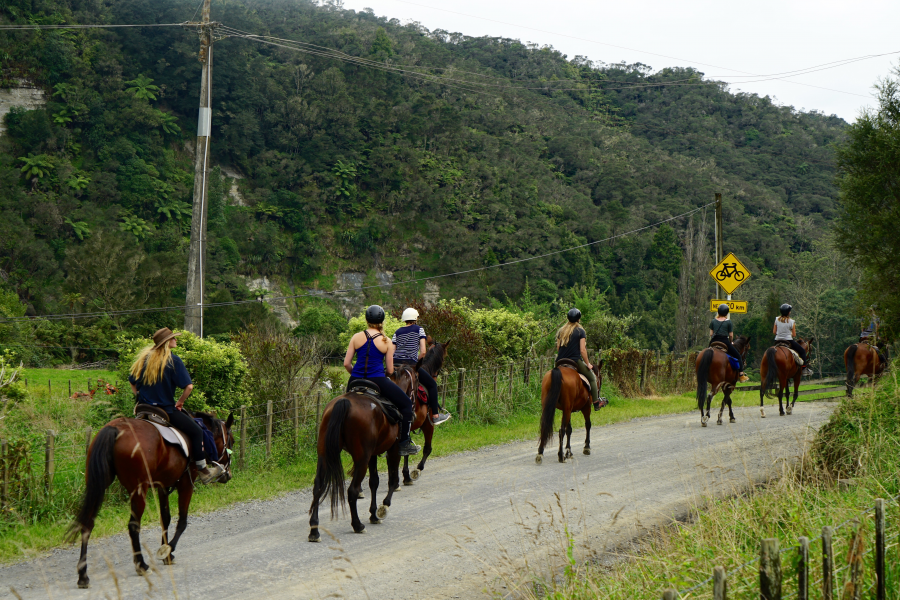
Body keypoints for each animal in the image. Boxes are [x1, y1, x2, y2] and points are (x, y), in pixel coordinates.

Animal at [68, 410, 234, 588]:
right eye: (231, 441)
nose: (228, 475)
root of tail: (116, 428)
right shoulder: (186, 484)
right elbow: (182, 521)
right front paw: (167, 550)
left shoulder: (163, 486)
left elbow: (165, 518)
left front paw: (167, 551)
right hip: (139, 490)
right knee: (133, 526)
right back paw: (141, 565)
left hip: (98, 483)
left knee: (87, 524)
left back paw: (83, 575)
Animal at [306, 372, 412, 540]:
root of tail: (344, 402)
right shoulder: (393, 449)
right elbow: (392, 479)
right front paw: (384, 507)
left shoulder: (373, 454)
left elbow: (374, 482)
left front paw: (374, 514)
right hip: (362, 459)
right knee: (352, 491)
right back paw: (357, 525)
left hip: (324, 455)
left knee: (318, 486)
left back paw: (314, 530)